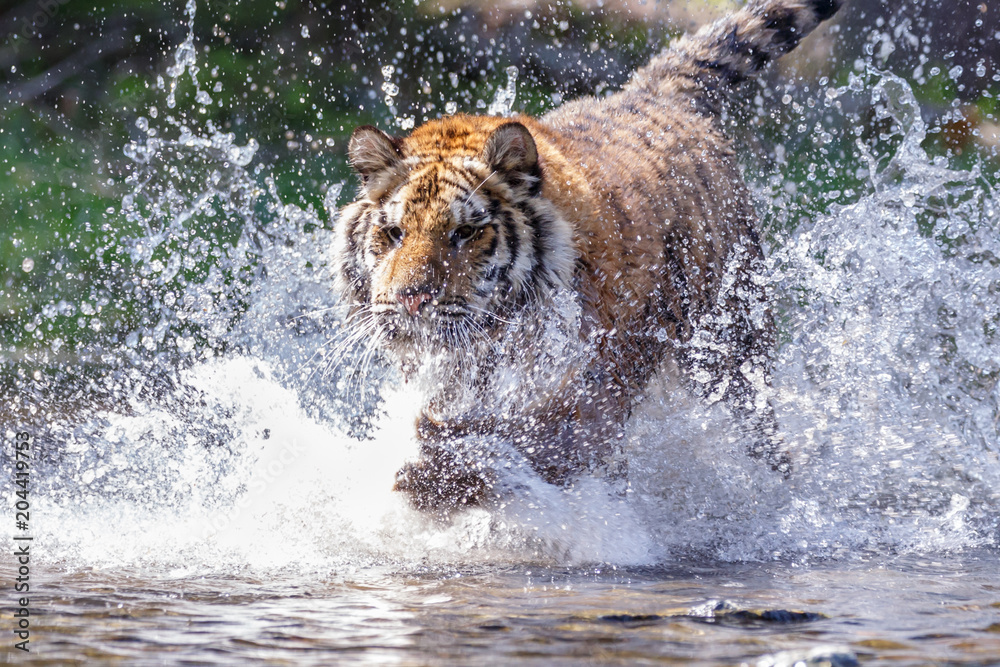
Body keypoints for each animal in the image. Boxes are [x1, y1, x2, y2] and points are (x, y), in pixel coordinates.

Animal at [330, 0, 843, 511]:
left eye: (464, 233)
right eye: (394, 233)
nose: (410, 299)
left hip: (731, 348)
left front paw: (436, 474)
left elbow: (532, 441)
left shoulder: (595, 392)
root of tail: (656, 92)